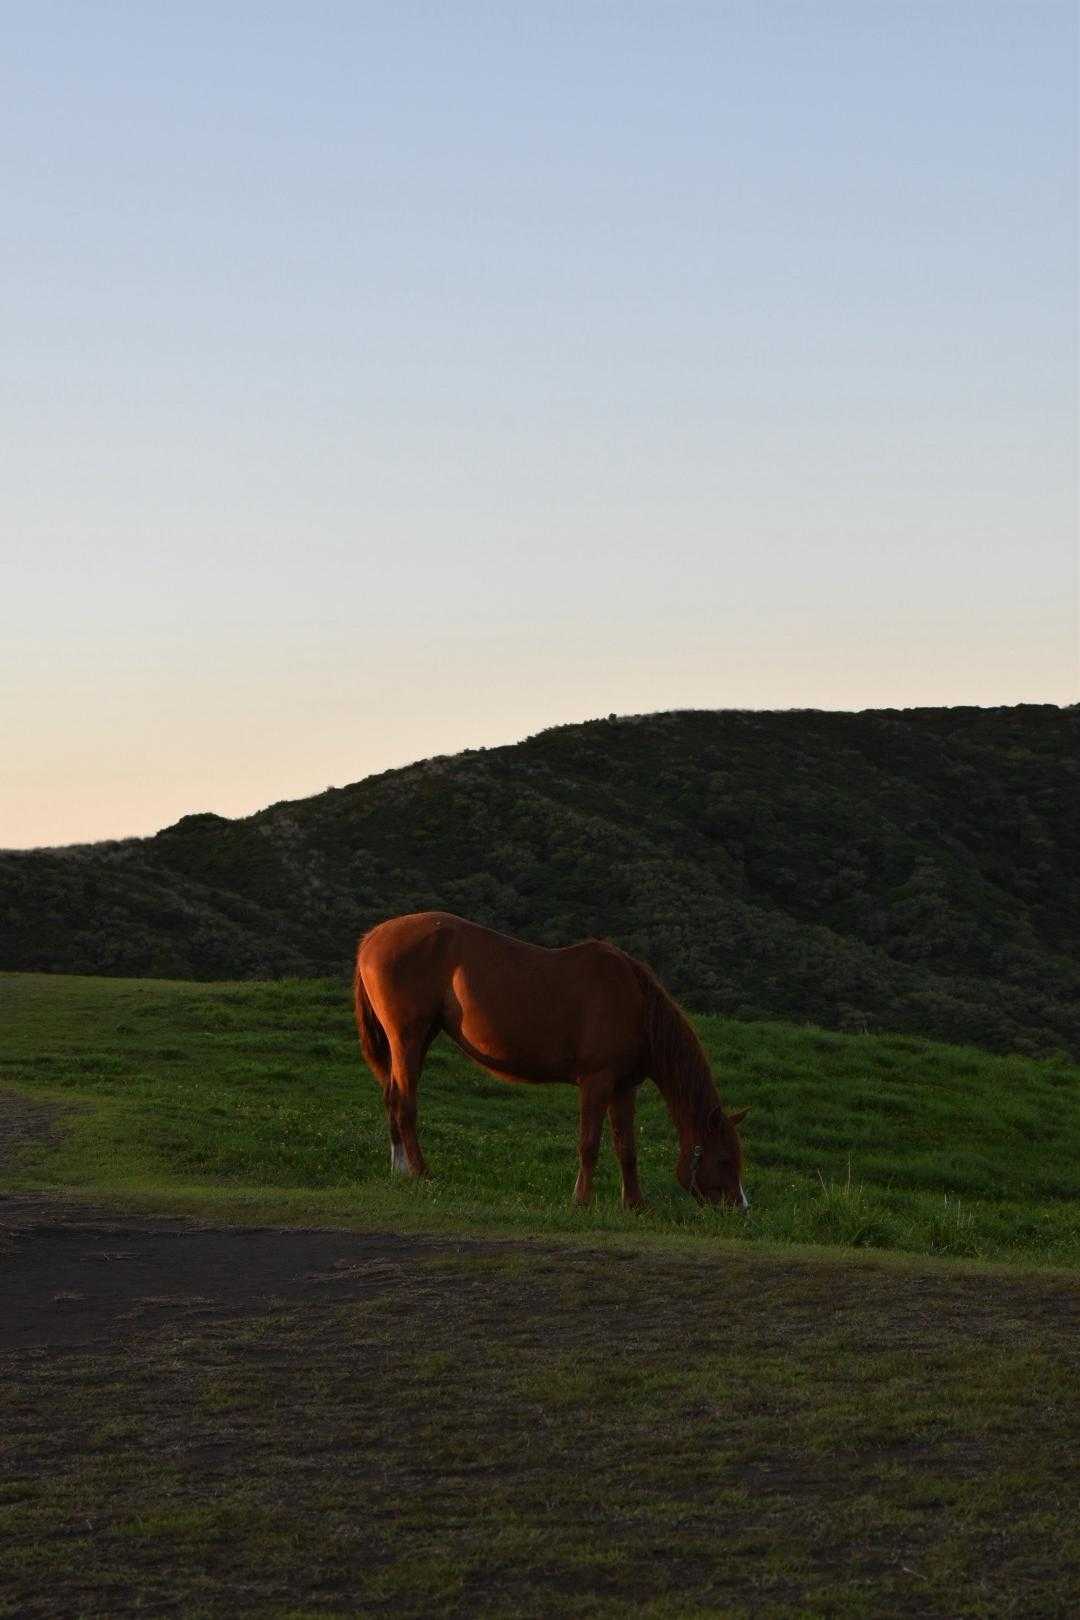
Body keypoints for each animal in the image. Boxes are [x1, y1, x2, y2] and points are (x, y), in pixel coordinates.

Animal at [353, 911, 749, 1210]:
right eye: (725, 1159)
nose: (740, 1208)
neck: (635, 1004)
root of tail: (373, 938)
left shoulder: (624, 1088)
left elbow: (626, 1147)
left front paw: (635, 1204)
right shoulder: (596, 1082)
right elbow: (589, 1144)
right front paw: (582, 1200)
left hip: (417, 1041)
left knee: (393, 1098)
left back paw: (400, 1170)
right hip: (408, 1039)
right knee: (405, 1105)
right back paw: (422, 1173)